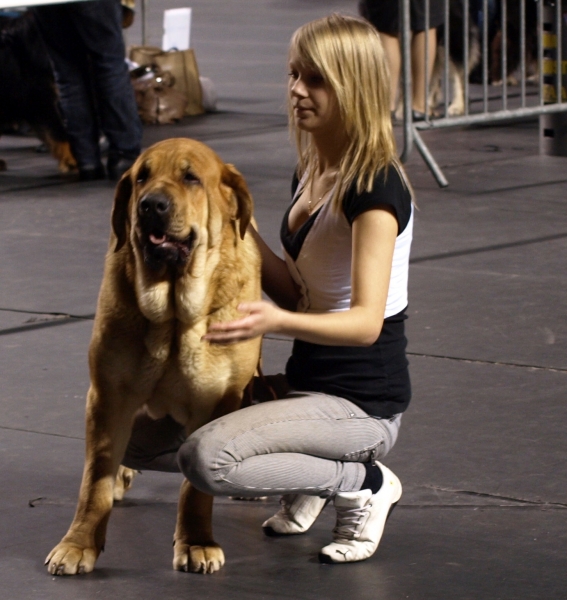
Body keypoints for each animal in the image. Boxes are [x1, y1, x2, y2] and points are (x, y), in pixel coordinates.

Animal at [46, 138, 262, 576]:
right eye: (141, 177)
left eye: (191, 177)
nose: (151, 205)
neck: (174, 317)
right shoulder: (108, 397)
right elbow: (94, 480)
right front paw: (78, 544)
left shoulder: (216, 403)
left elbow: (195, 490)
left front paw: (196, 542)